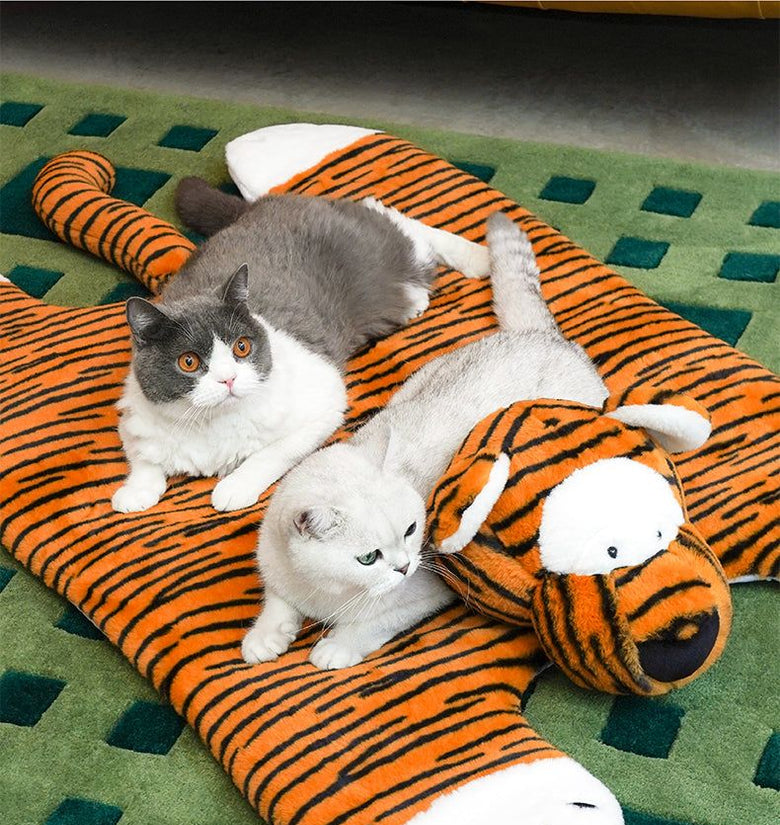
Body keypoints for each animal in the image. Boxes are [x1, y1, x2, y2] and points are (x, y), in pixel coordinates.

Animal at [111, 183, 489, 514]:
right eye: (188, 362)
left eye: (242, 347)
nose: (228, 379)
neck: (212, 425)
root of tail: (264, 202)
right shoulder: (135, 416)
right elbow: (143, 458)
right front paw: (135, 492)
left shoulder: (324, 403)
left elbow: (271, 453)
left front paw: (234, 487)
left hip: (375, 255)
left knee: (397, 222)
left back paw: (478, 257)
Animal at [242, 212, 608, 670]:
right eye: (368, 557)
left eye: (412, 530)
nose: (403, 566)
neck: (329, 593)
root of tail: (539, 336)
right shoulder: (277, 567)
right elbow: (277, 600)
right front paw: (265, 636)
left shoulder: (426, 589)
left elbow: (372, 625)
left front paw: (336, 647)